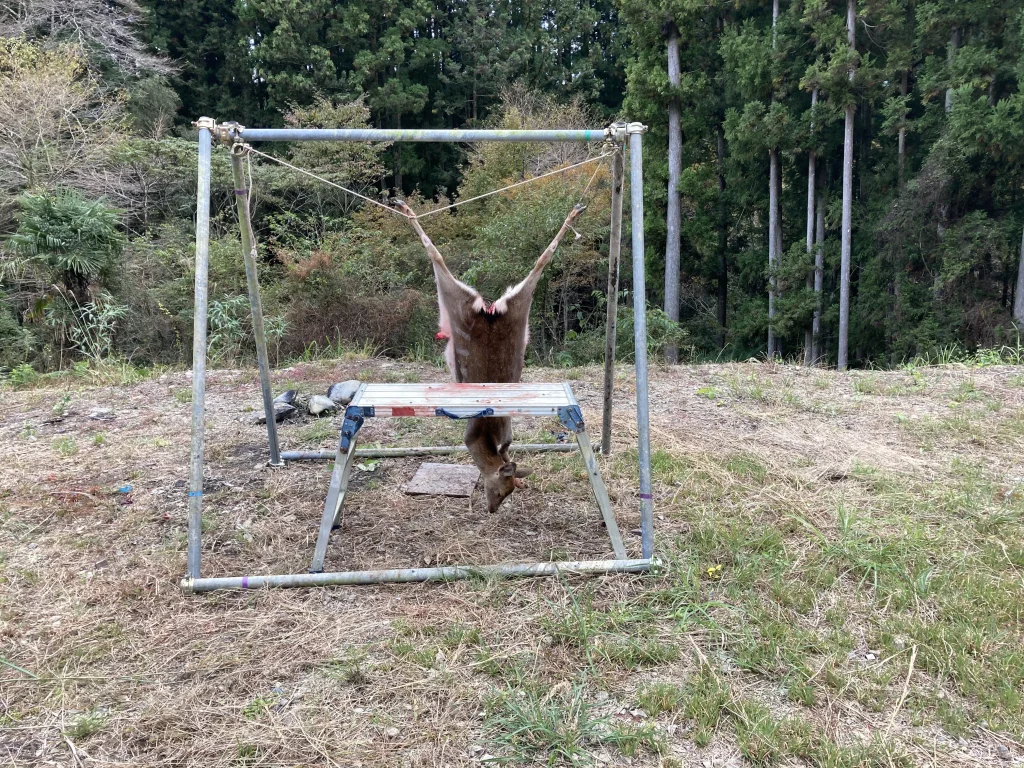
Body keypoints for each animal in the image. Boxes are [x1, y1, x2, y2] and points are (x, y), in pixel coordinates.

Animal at [393, 199, 586, 513]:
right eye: (500, 490)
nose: (492, 509)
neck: (485, 437)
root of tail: (490, 312)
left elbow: (508, 449)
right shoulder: (475, 430)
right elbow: (507, 449)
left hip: (493, 304)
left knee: (541, 258)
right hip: (471, 301)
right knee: (436, 252)